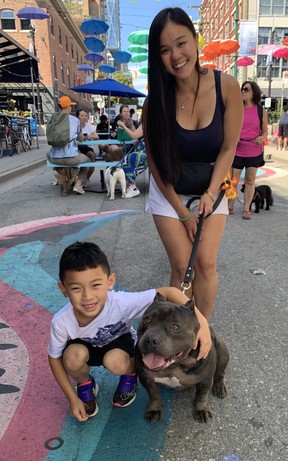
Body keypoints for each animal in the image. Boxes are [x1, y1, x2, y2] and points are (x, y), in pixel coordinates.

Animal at [135, 292, 230, 422]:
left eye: (175, 326)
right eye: (147, 319)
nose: (150, 339)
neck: (175, 364)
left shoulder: (205, 380)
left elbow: (202, 396)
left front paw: (201, 410)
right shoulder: (146, 378)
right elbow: (153, 394)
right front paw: (154, 409)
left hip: (222, 352)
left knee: (220, 373)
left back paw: (219, 387)